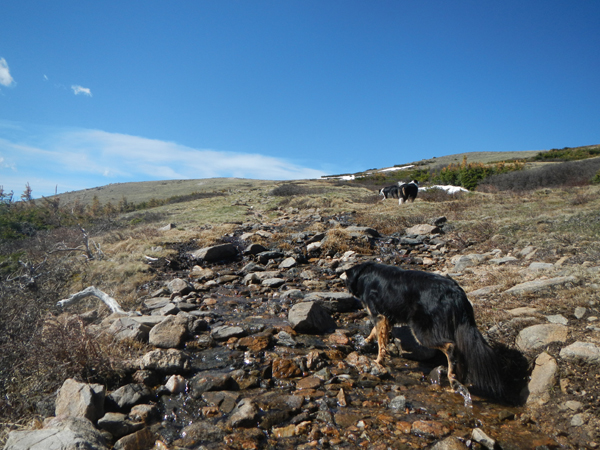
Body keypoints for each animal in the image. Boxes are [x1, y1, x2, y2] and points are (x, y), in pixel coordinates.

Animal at [344, 262, 504, 400]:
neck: (363, 274)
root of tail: (457, 293)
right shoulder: (386, 318)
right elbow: (375, 332)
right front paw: (364, 342)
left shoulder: (379, 316)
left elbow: (381, 342)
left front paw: (378, 361)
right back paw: (458, 378)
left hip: (421, 331)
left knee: (450, 347)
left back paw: (452, 378)